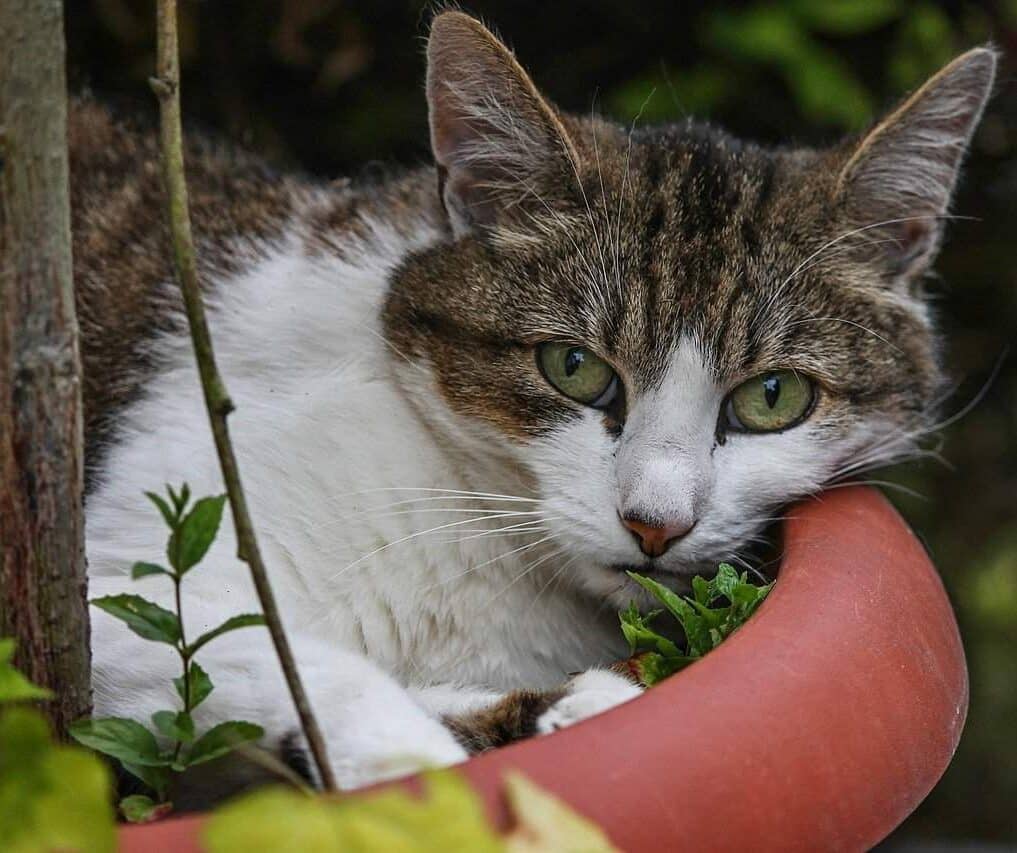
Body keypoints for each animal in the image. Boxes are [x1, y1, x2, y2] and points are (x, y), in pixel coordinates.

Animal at [75, 11, 996, 801]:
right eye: (573, 367)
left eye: (773, 396)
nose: (655, 522)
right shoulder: (131, 572)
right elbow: (267, 657)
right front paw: (419, 769)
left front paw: (554, 708)